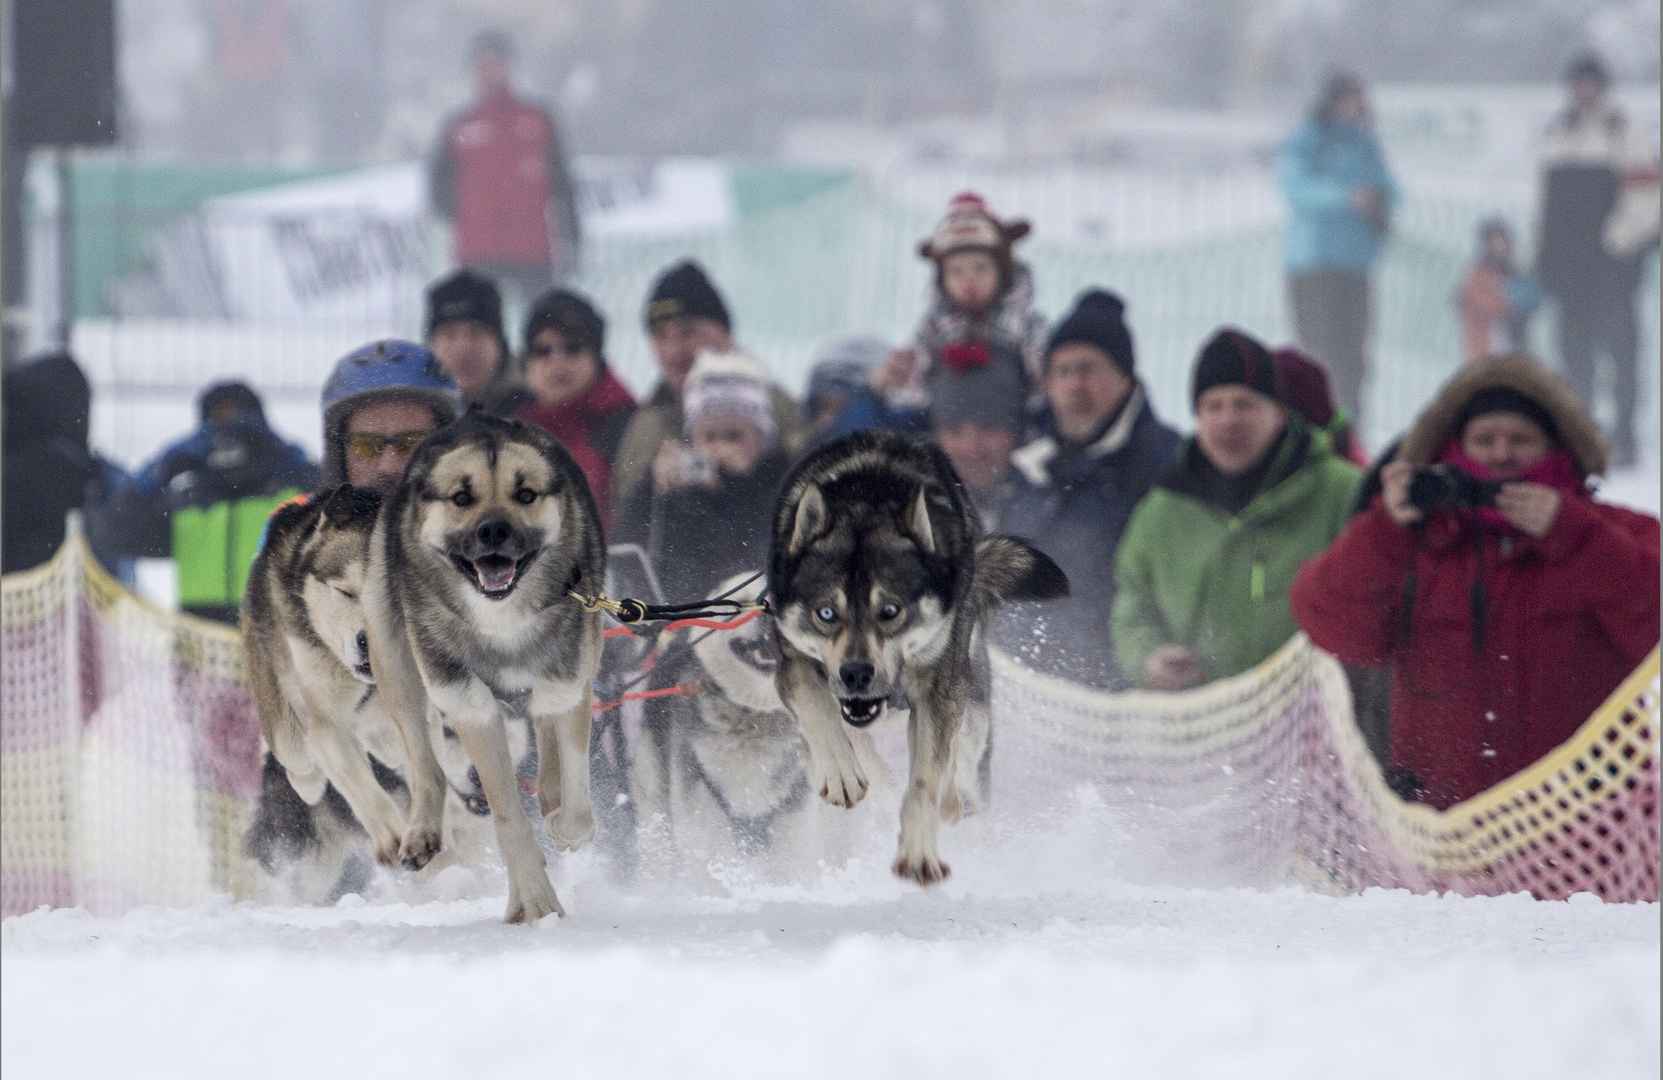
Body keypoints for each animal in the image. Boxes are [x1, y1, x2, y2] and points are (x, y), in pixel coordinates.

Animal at [364, 411, 605, 918]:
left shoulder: (570, 681)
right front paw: (534, 901)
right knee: (423, 759)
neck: (503, 621)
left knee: (547, 735)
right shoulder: (472, 707)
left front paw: (562, 825)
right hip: (392, 653)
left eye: (526, 495)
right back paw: (423, 829)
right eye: (461, 498)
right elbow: (508, 816)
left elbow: (576, 806)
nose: (493, 529)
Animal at [764, 429, 1064, 885]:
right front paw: (842, 771)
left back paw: (952, 800)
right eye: (826, 613)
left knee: (959, 763)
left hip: (970, 706)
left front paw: (919, 851)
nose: (855, 674)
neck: (865, 500)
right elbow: (820, 709)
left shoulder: (939, 690)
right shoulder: (793, 662)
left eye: (890, 610)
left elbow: (924, 782)